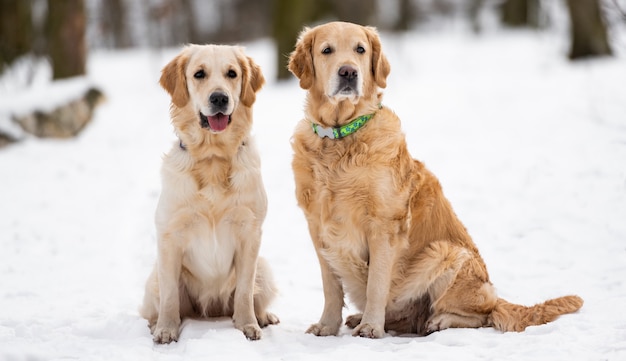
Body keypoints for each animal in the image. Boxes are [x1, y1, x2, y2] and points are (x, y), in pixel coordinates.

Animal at [143, 43, 280, 342]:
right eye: (199, 74)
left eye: (232, 73)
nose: (219, 98)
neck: (213, 158)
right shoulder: (169, 235)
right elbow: (169, 296)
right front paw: (166, 329)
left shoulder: (250, 232)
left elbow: (244, 291)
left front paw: (248, 325)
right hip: (153, 277)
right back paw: (155, 324)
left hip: (264, 268)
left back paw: (263, 317)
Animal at [288, 21, 580, 338]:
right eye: (326, 50)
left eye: (360, 50)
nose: (349, 72)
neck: (340, 139)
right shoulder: (318, 228)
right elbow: (331, 286)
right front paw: (328, 326)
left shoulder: (384, 226)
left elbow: (376, 284)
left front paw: (370, 328)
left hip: (446, 253)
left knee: (482, 314)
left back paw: (437, 321)